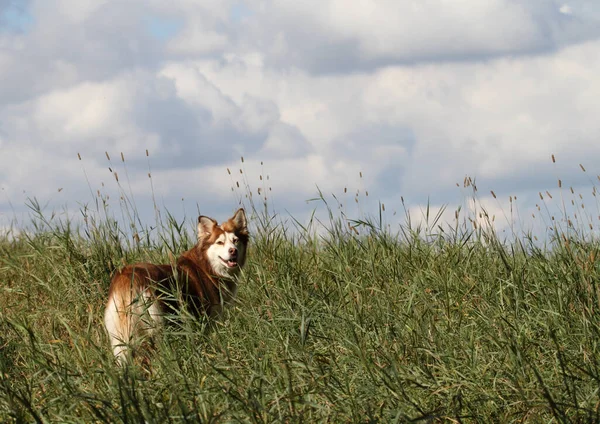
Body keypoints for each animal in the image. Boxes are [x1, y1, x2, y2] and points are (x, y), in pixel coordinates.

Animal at [104, 209, 247, 364]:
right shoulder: (209, 322)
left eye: (235, 240)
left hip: (121, 337)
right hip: (157, 326)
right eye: (220, 242)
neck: (207, 267)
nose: (233, 251)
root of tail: (127, 277)